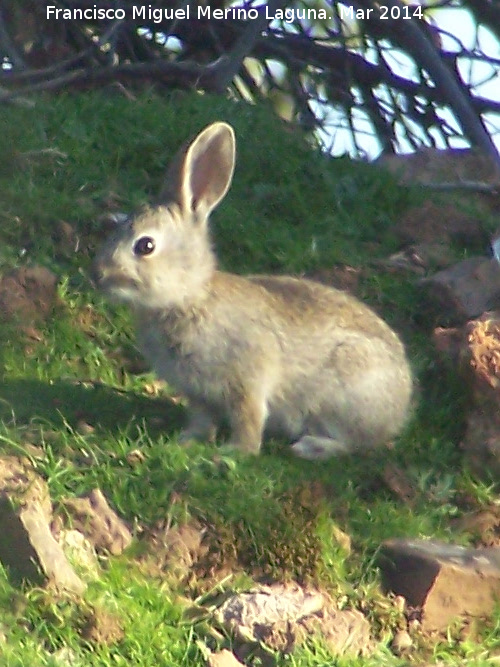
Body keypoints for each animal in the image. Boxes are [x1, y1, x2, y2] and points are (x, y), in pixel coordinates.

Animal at [92, 121, 412, 460]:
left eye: (145, 246)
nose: (97, 275)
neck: (188, 298)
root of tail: (404, 399)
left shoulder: (247, 381)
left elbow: (249, 417)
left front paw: (237, 451)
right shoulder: (198, 395)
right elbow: (202, 419)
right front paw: (188, 440)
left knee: (358, 442)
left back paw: (312, 446)